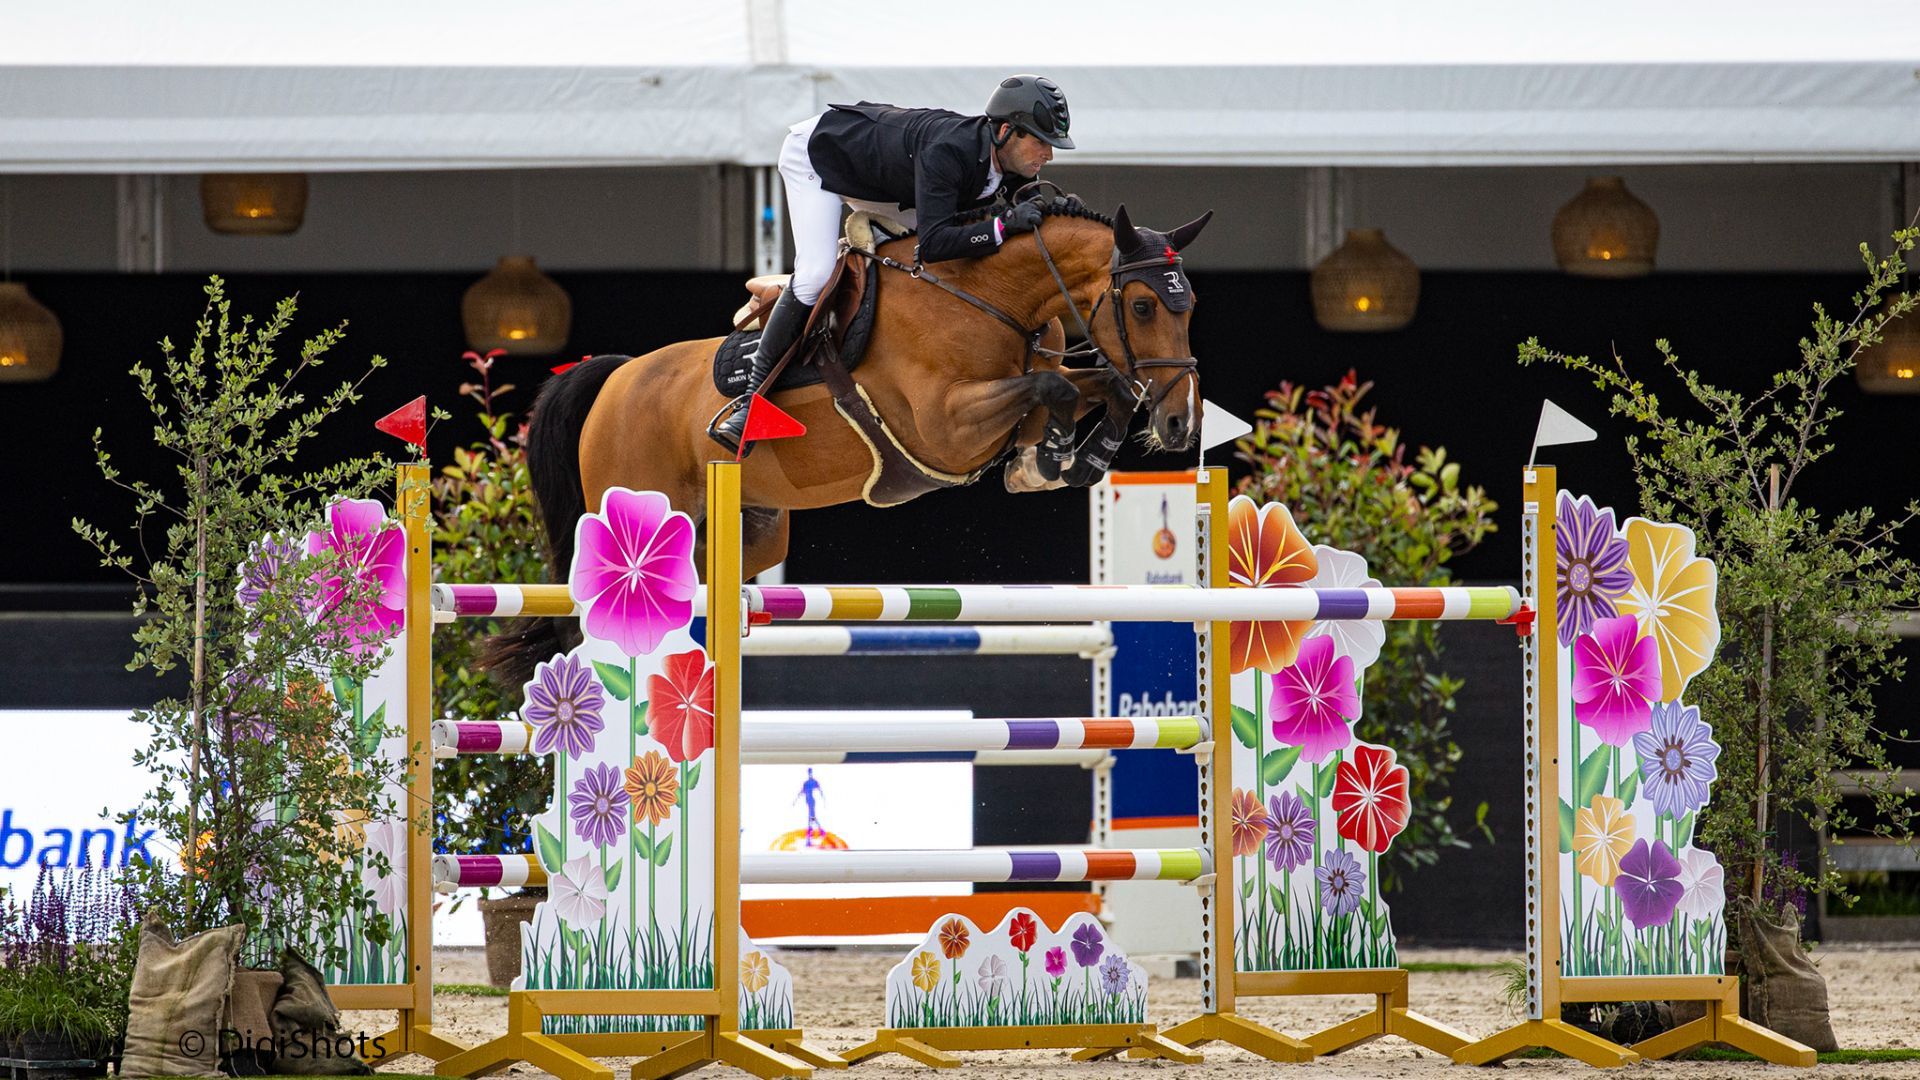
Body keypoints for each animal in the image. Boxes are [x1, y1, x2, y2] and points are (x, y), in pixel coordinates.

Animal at [488, 201, 1211, 685]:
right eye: (1143, 306)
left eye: (1191, 309)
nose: (1181, 423)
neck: (984, 296)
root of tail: (616, 376)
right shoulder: (946, 428)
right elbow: (1052, 387)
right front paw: (1052, 456)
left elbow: (1094, 385)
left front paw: (1077, 456)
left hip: (746, 531)